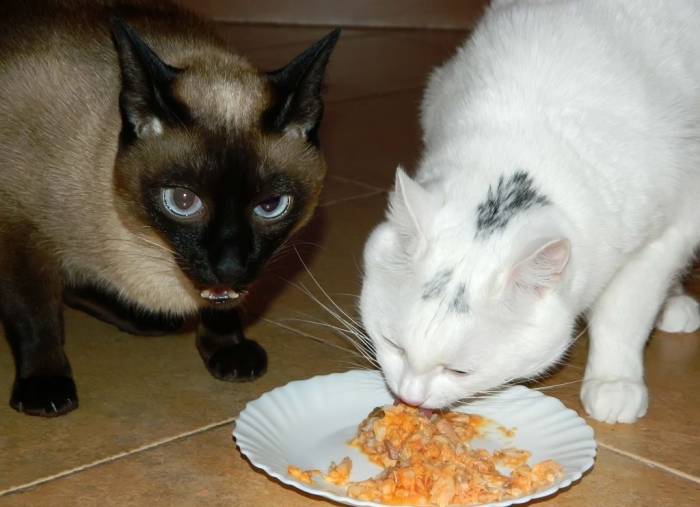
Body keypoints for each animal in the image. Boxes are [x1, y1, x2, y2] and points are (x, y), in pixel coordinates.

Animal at [0, 0, 339, 417]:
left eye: (271, 206)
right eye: (183, 201)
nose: (230, 266)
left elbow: (222, 308)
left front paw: (227, 349)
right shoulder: (18, 230)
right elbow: (34, 315)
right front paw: (44, 385)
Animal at [360, 0, 700, 424]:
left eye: (459, 371)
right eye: (393, 345)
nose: (409, 397)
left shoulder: (665, 233)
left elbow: (623, 315)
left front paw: (614, 382)